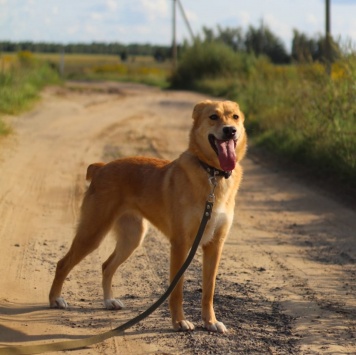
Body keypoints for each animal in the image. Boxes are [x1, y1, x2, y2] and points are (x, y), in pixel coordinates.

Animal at [48, 100, 248, 334]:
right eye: (214, 117)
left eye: (235, 117)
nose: (230, 130)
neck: (212, 175)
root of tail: (101, 168)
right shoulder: (181, 244)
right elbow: (177, 291)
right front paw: (179, 322)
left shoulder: (215, 245)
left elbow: (208, 291)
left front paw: (210, 322)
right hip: (93, 233)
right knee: (63, 263)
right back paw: (55, 299)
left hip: (132, 238)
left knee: (106, 266)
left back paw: (108, 301)